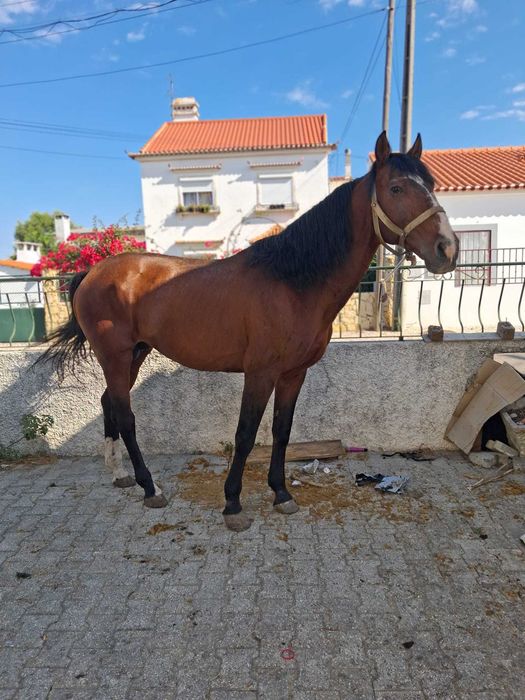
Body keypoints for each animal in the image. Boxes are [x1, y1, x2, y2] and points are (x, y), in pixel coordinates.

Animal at [39, 132, 458, 531]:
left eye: (431, 183)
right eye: (396, 188)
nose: (448, 249)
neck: (293, 281)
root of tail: (92, 272)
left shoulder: (293, 374)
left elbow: (282, 431)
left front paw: (281, 493)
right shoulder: (260, 373)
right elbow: (245, 435)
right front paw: (233, 504)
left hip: (135, 354)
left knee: (109, 403)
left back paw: (120, 474)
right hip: (115, 354)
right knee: (125, 415)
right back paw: (150, 487)